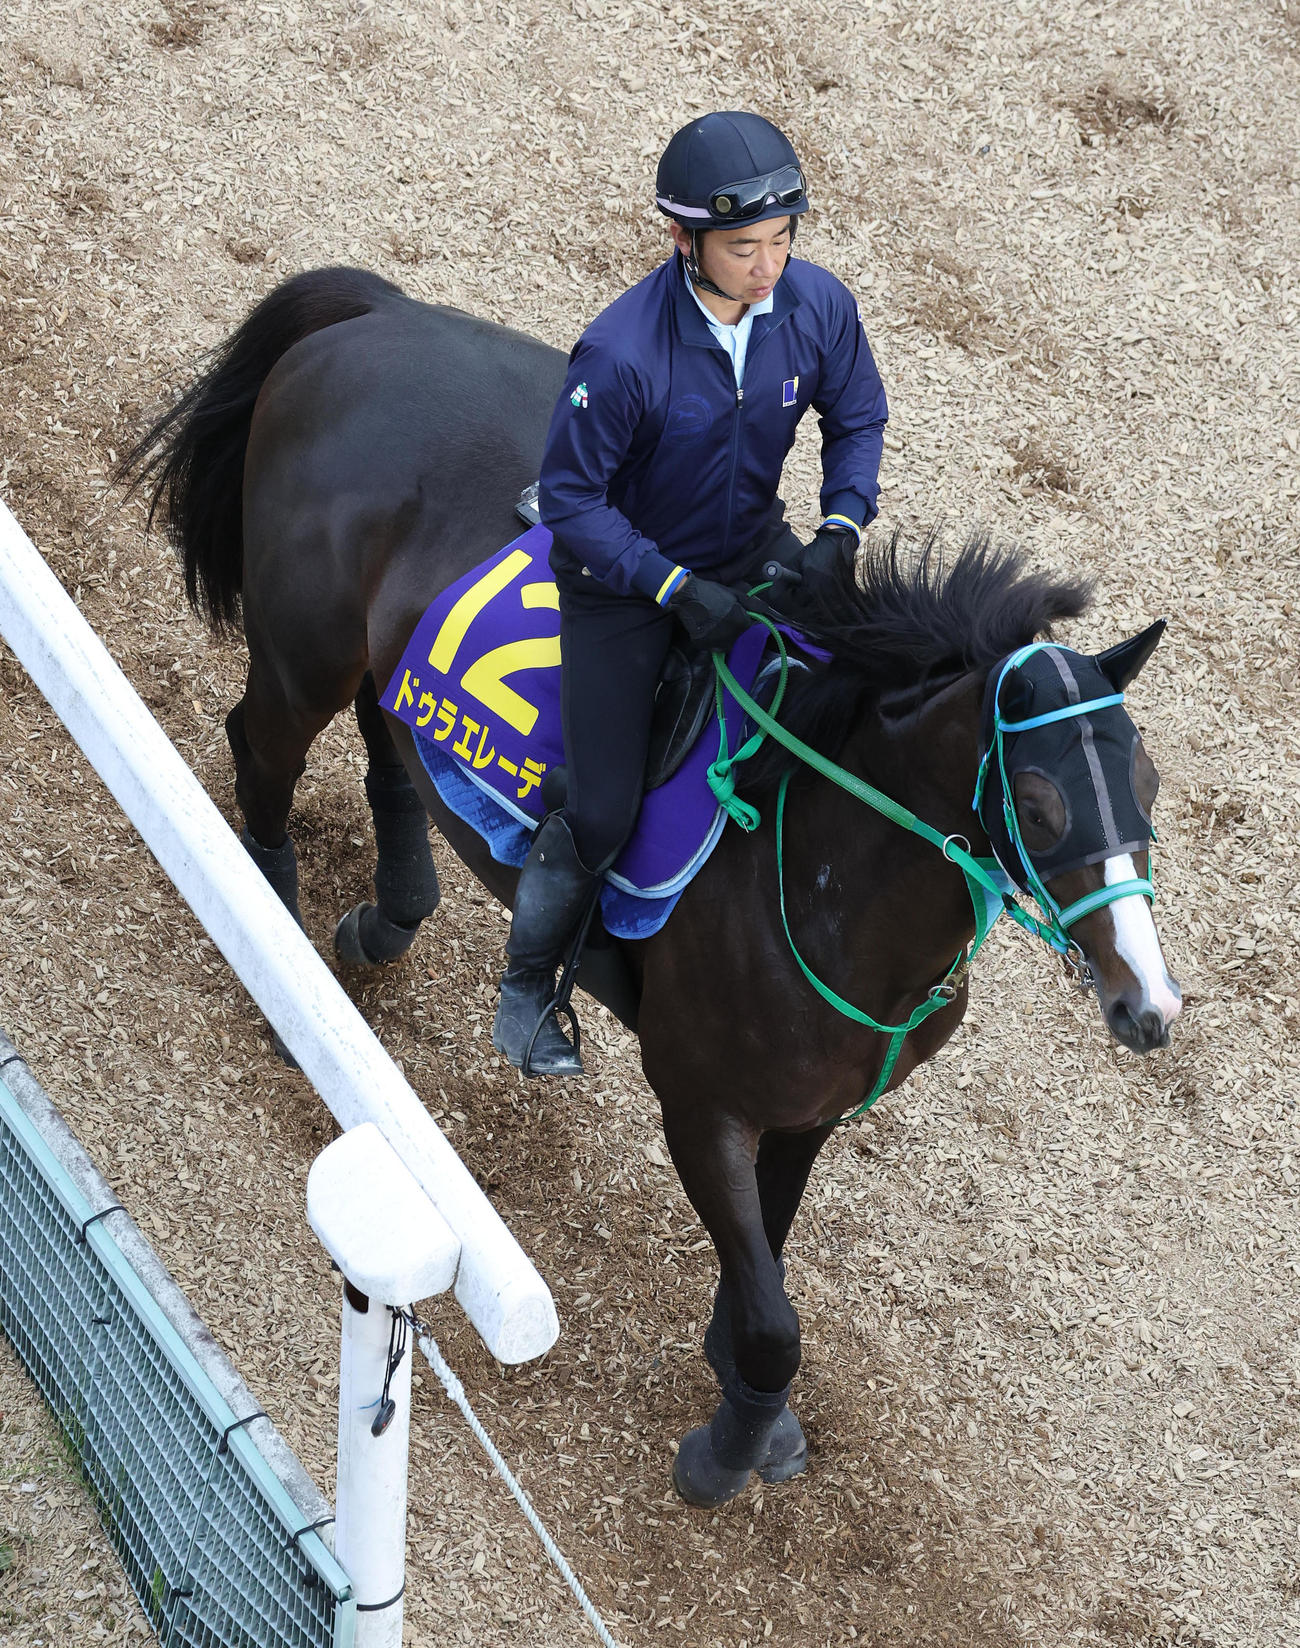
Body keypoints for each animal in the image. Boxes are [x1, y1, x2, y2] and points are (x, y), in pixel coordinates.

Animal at [121, 266, 1182, 1508]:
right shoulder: (699, 1100)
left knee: (391, 747)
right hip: (303, 651)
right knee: (261, 754)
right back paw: (282, 952)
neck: (818, 873)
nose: (1149, 1006)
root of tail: (379, 313)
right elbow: (772, 1320)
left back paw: (388, 915)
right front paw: (730, 1443)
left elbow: (765, 1269)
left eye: (1144, 782)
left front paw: (746, 1395)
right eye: (1046, 803)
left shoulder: (809, 1110)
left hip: (380, 660)